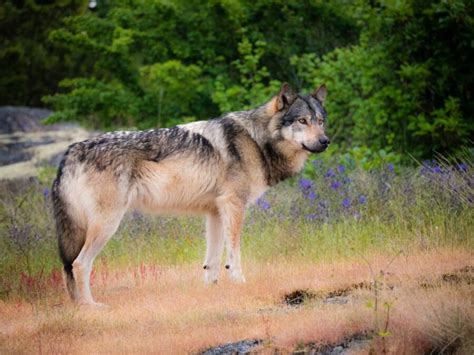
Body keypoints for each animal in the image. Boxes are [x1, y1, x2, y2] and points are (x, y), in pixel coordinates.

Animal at [51, 83, 330, 306]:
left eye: (320, 121)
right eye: (302, 121)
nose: (325, 141)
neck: (256, 140)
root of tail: (71, 151)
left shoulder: (215, 212)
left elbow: (213, 261)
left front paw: (213, 292)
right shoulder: (234, 205)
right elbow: (234, 254)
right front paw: (239, 283)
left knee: (69, 267)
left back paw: (77, 306)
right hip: (106, 225)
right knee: (79, 264)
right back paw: (90, 307)